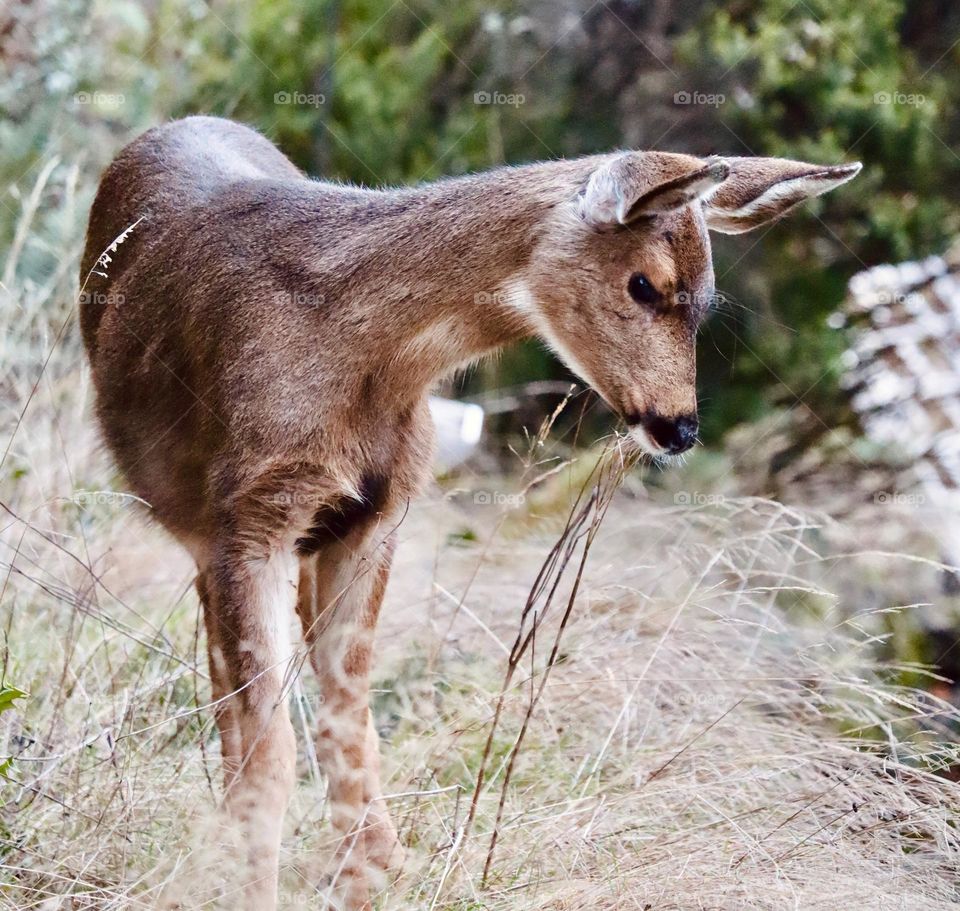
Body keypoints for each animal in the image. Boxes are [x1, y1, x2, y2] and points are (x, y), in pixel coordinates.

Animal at [79, 117, 864, 908]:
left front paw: (371, 876)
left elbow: (347, 721)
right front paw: (250, 887)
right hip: (206, 527)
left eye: (708, 302)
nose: (679, 427)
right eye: (644, 283)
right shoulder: (251, 515)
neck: (364, 356)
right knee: (229, 697)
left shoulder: (378, 517)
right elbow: (273, 746)